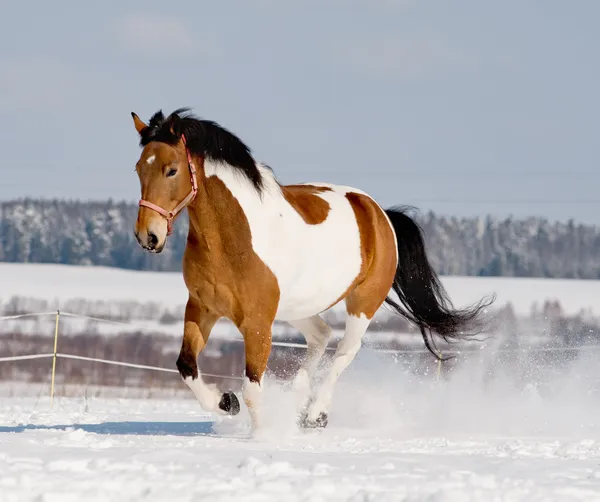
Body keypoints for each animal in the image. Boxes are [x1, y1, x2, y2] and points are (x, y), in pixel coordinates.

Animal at [130, 108, 492, 434]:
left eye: (171, 170)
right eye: (138, 168)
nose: (148, 236)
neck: (233, 239)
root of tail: (379, 213)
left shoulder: (257, 322)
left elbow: (252, 388)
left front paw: (263, 435)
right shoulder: (201, 307)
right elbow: (186, 367)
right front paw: (225, 402)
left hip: (362, 303)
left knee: (344, 351)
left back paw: (315, 414)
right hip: (297, 307)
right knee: (321, 335)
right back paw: (298, 403)